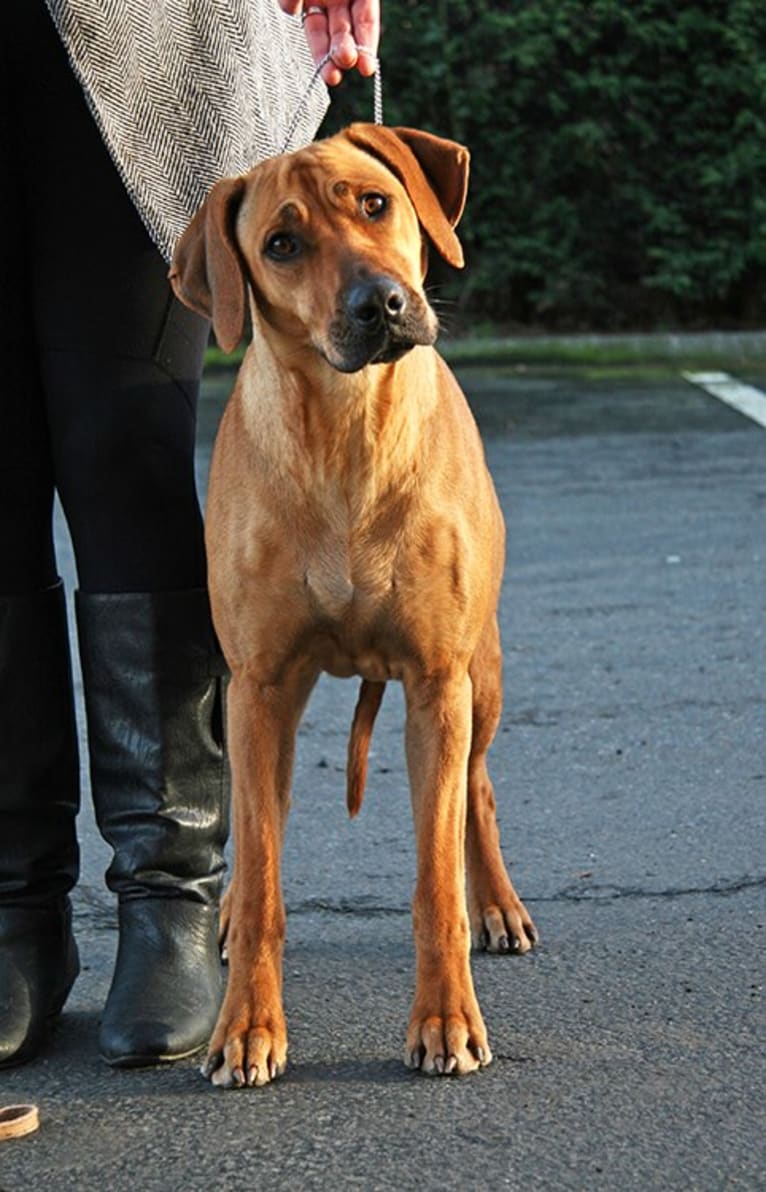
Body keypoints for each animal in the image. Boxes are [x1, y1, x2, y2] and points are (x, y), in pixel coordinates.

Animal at [170, 123, 536, 1091]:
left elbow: (434, 882)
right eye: (280, 246)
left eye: (376, 203)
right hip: (256, 703)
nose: (384, 303)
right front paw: (246, 1026)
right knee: (256, 819)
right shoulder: (259, 686)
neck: (346, 431)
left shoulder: (438, 681)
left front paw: (446, 1020)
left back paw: (498, 905)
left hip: (481, 678)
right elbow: (263, 866)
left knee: (478, 790)